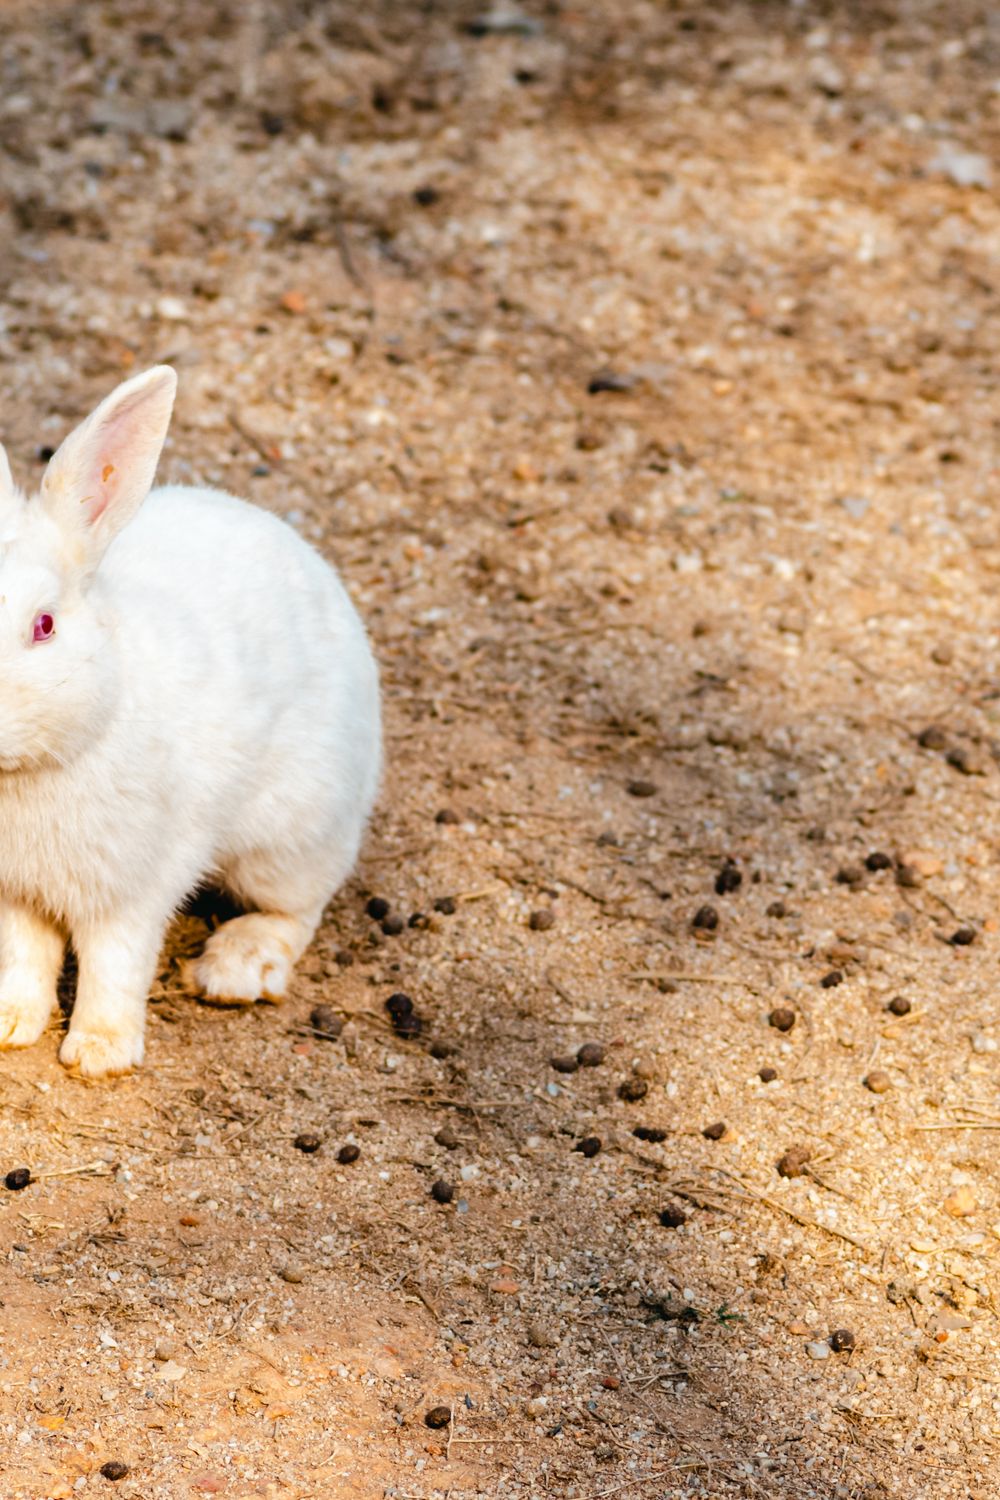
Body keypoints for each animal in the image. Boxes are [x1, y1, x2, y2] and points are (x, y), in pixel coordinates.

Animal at [0, 365, 381, 1077]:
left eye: (45, 625)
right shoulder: (14, 896)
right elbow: (23, 957)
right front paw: (10, 1026)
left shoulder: (135, 890)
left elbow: (115, 967)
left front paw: (100, 1054)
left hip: (290, 839)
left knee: (300, 908)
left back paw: (237, 968)